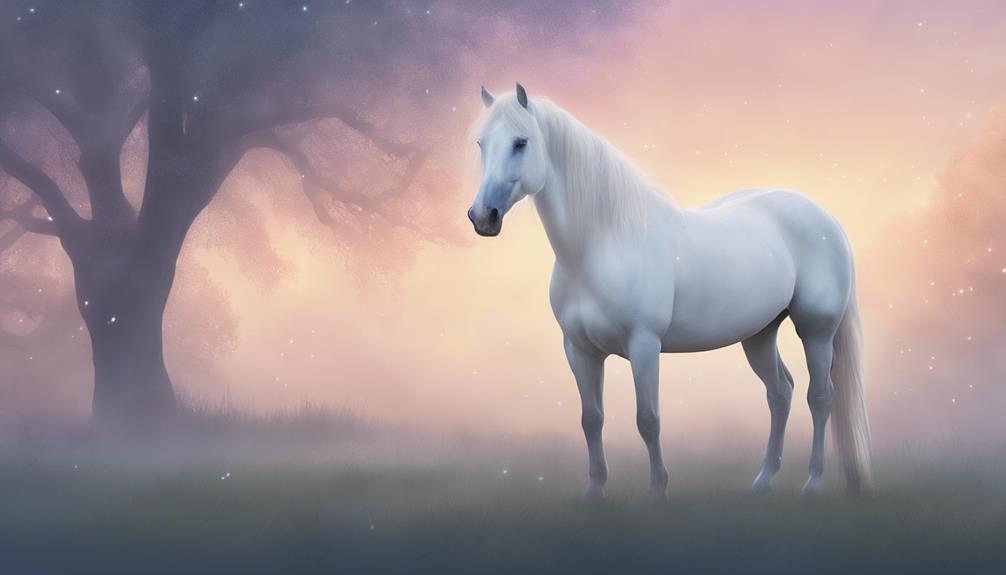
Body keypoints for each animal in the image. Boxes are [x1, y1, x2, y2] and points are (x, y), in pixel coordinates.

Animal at [467, 84, 872, 499]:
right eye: (482, 143)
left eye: (521, 142)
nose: (483, 217)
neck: (600, 245)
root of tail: (826, 218)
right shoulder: (579, 350)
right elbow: (591, 419)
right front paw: (594, 491)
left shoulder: (644, 346)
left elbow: (648, 420)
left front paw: (658, 492)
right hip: (759, 334)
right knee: (780, 394)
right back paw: (763, 481)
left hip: (816, 331)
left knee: (819, 398)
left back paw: (813, 483)